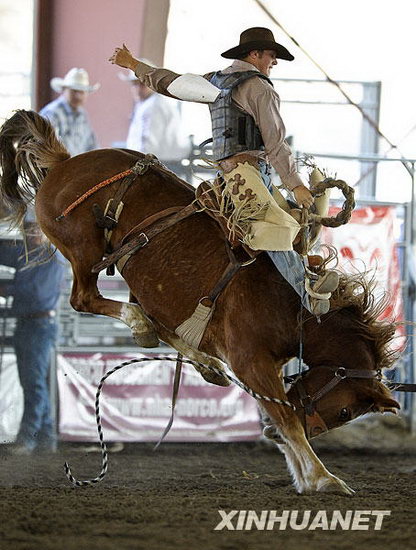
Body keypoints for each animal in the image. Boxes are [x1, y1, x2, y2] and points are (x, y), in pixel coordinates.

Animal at [0, 111, 400, 496]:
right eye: (347, 410)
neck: (297, 308)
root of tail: (64, 162)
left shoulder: (262, 367)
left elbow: (277, 414)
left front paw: (303, 477)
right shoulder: (251, 361)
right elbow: (287, 419)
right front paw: (322, 478)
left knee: (156, 322)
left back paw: (200, 360)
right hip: (83, 249)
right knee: (86, 298)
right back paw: (143, 326)